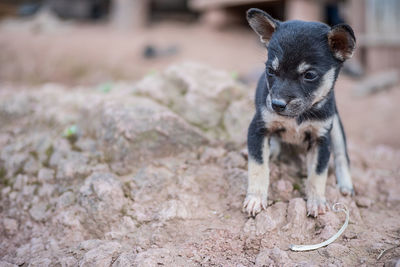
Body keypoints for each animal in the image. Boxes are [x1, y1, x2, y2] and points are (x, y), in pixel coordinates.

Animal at [242, 7, 354, 218]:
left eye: (309, 75)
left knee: (342, 156)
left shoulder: (321, 139)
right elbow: (258, 167)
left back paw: (346, 184)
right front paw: (255, 198)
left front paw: (316, 201)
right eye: (270, 71)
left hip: (336, 128)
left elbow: (318, 174)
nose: (276, 104)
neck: (299, 116)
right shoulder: (258, 129)